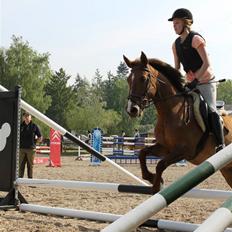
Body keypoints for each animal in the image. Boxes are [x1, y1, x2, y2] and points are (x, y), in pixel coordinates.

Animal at [122, 51, 232, 193]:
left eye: (143, 79)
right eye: (128, 79)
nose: (132, 109)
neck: (170, 112)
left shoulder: (184, 151)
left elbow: (160, 164)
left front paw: (157, 185)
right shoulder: (166, 147)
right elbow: (142, 153)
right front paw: (150, 177)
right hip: (227, 170)